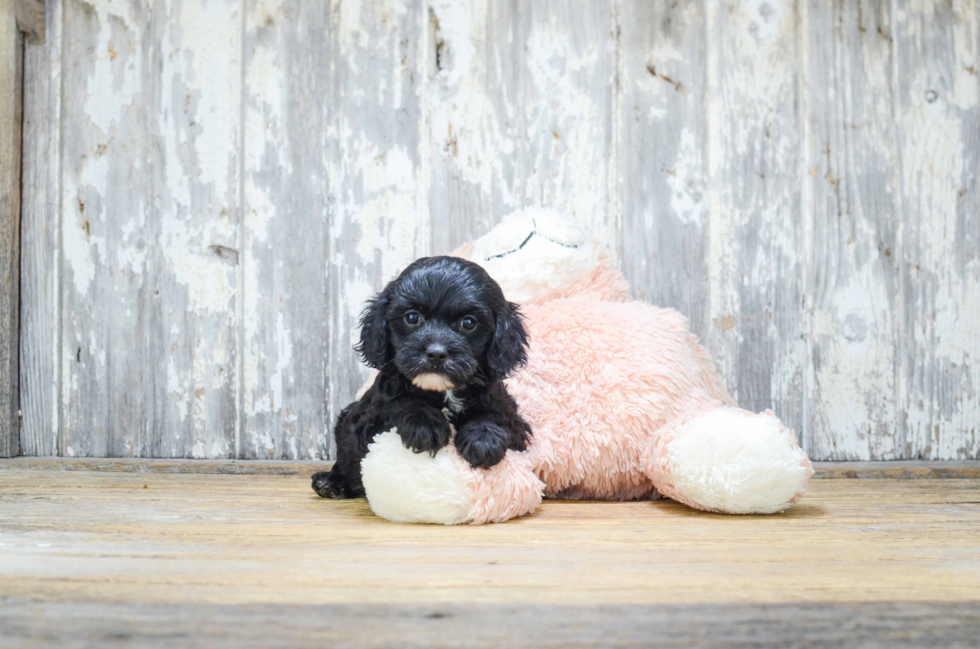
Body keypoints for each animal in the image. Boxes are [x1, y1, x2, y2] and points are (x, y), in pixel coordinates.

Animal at [312, 256, 528, 498]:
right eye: (412, 317)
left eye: (469, 323)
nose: (436, 353)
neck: (443, 391)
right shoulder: (367, 420)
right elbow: (401, 402)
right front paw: (426, 426)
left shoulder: (514, 421)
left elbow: (494, 414)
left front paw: (483, 440)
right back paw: (330, 482)